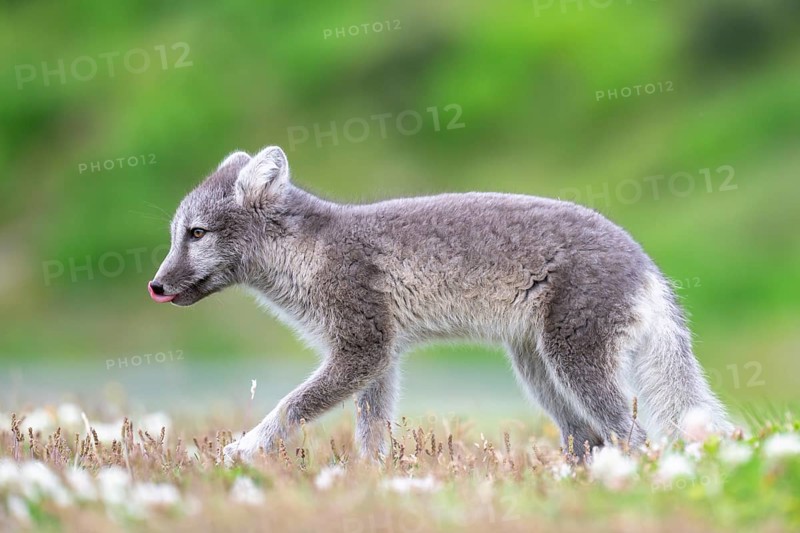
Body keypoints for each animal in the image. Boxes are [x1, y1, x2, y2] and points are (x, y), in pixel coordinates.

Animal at [149, 145, 732, 463]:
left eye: (196, 234)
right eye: (176, 234)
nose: (154, 286)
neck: (308, 253)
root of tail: (648, 266)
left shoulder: (361, 348)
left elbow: (290, 405)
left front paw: (243, 449)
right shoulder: (378, 359)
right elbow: (372, 432)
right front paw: (369, 482)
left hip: (574, 363)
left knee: (636, 436)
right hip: (538, 371)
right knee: (588, 437)